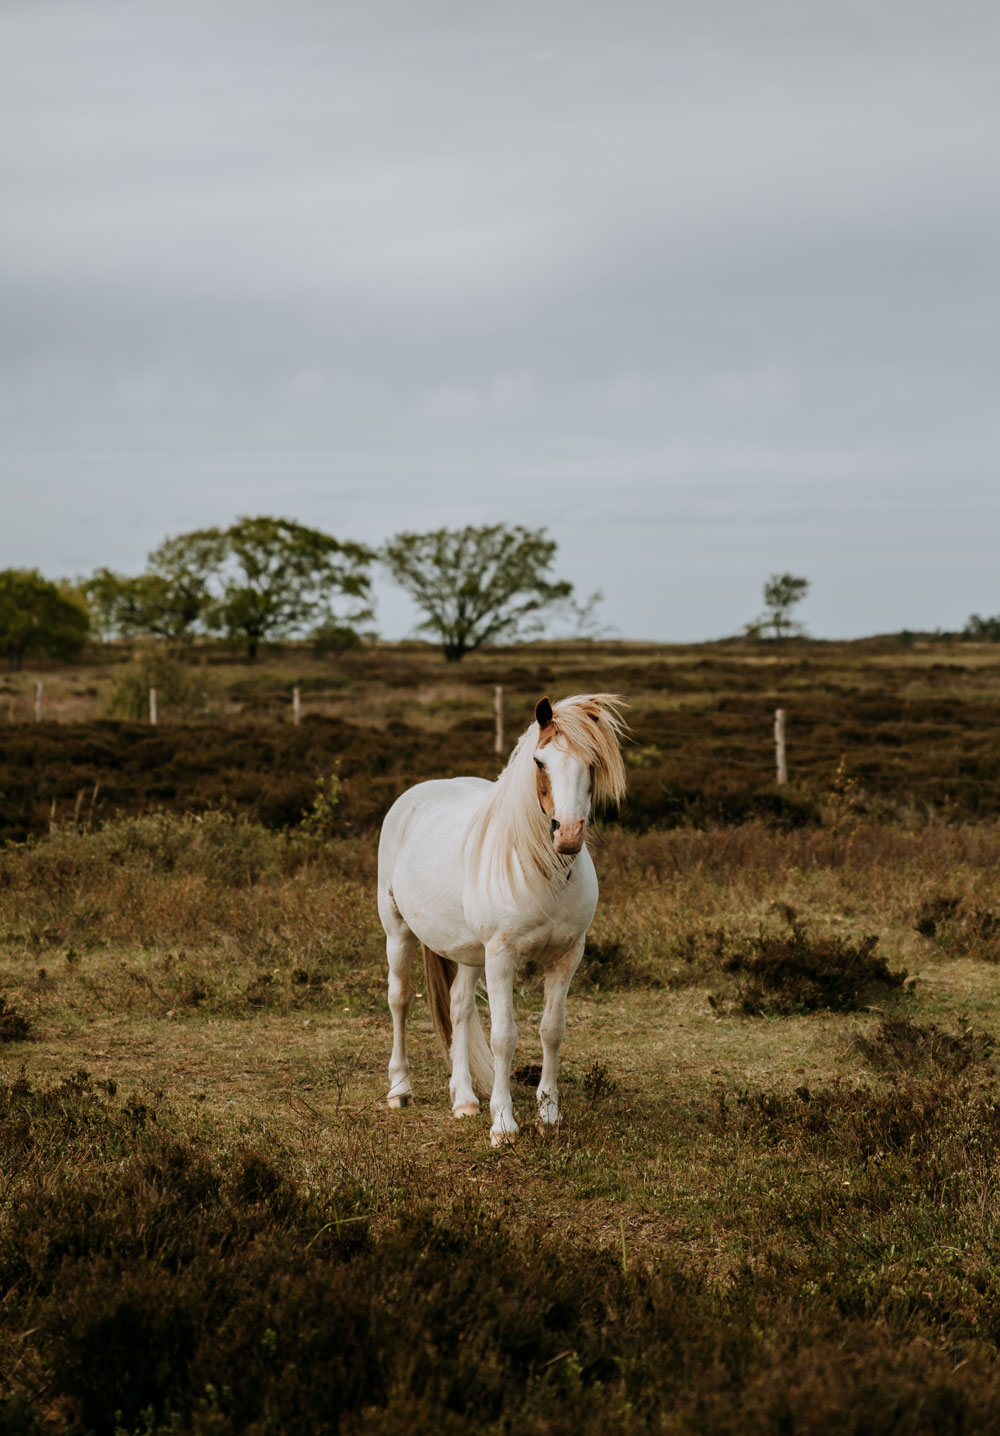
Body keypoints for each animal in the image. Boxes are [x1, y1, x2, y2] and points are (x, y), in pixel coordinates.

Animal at [373, 689, 626, 1148]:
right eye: (540, 762)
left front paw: (549, 1115)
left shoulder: (567, 956)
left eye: (593, 763)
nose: (568, 834)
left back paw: (464, 1099)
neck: (542, 872)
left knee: (458, 1007)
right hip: (398, 932)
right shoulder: (502, 957)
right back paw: (400, 1089)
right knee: (399, 1000)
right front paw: (504, 1124)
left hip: (471, 953)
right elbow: (503, 1037)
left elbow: (552, 1029)